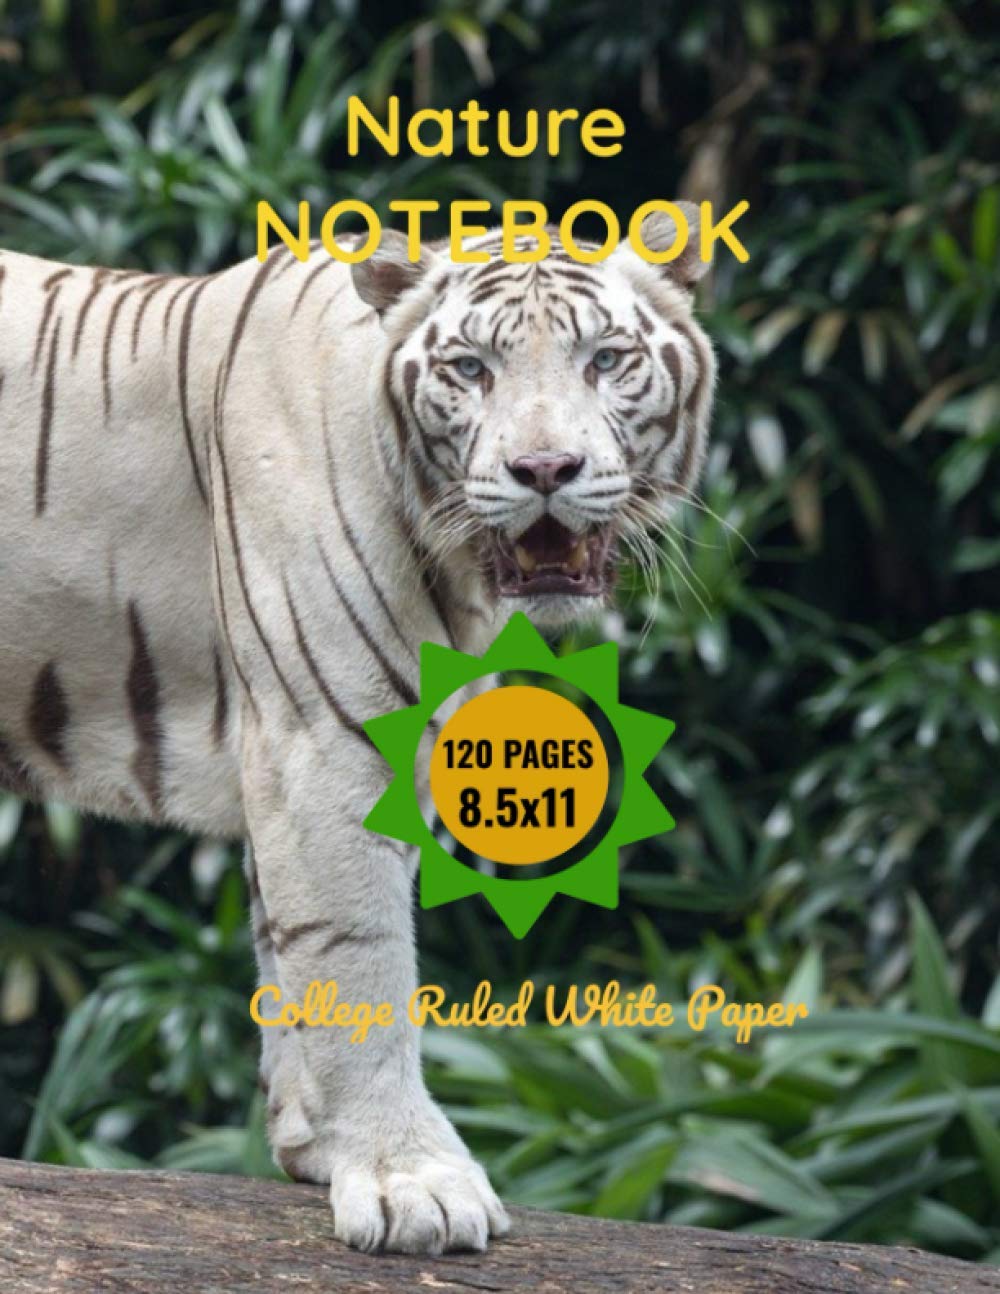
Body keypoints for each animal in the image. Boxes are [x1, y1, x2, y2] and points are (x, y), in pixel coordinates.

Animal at [0, 203, 716, 1255]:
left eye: (606, 359)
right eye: (471, 369)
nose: (545, 469)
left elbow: (288, 947)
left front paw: (314, 1145)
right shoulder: (325, 743)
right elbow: (358, 957)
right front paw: (411, 1183)